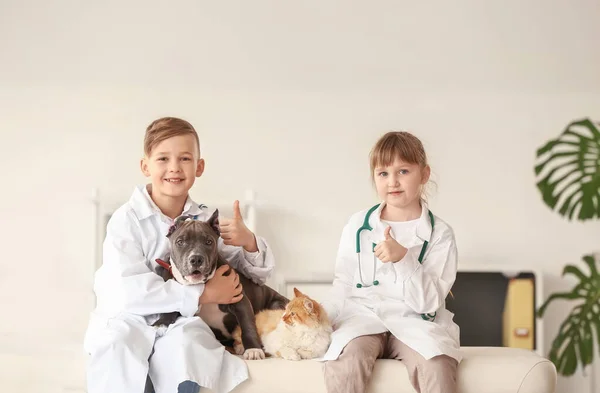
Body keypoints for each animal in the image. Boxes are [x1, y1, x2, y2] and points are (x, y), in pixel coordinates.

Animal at [152, 210, 288, 360]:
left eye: (209, 242)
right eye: (180, 242)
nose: (196, 259)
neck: (202, 284)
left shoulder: (240, 301)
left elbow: (248, 325)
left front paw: (253, 349)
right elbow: (170, 307)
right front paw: (160, 324)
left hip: (276, 304)